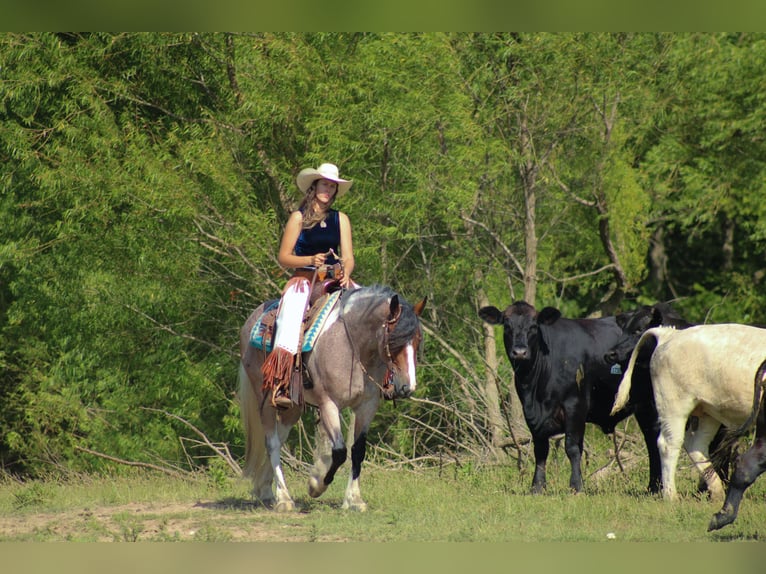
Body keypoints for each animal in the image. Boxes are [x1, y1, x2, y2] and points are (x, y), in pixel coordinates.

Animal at [238, 284, 426, 512]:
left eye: (418, 340)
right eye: (394, 340)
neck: (352, 347)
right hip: (265, 398)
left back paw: (265, 490)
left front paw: (354, 499)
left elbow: (357, 451)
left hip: (293, 406)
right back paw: (283, 498)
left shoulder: (367, 406)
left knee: (280, 437)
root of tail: (251, 320)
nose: (408, 386)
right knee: (272, 442)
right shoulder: (328, 404)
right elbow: (339, 451)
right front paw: (316, 485)